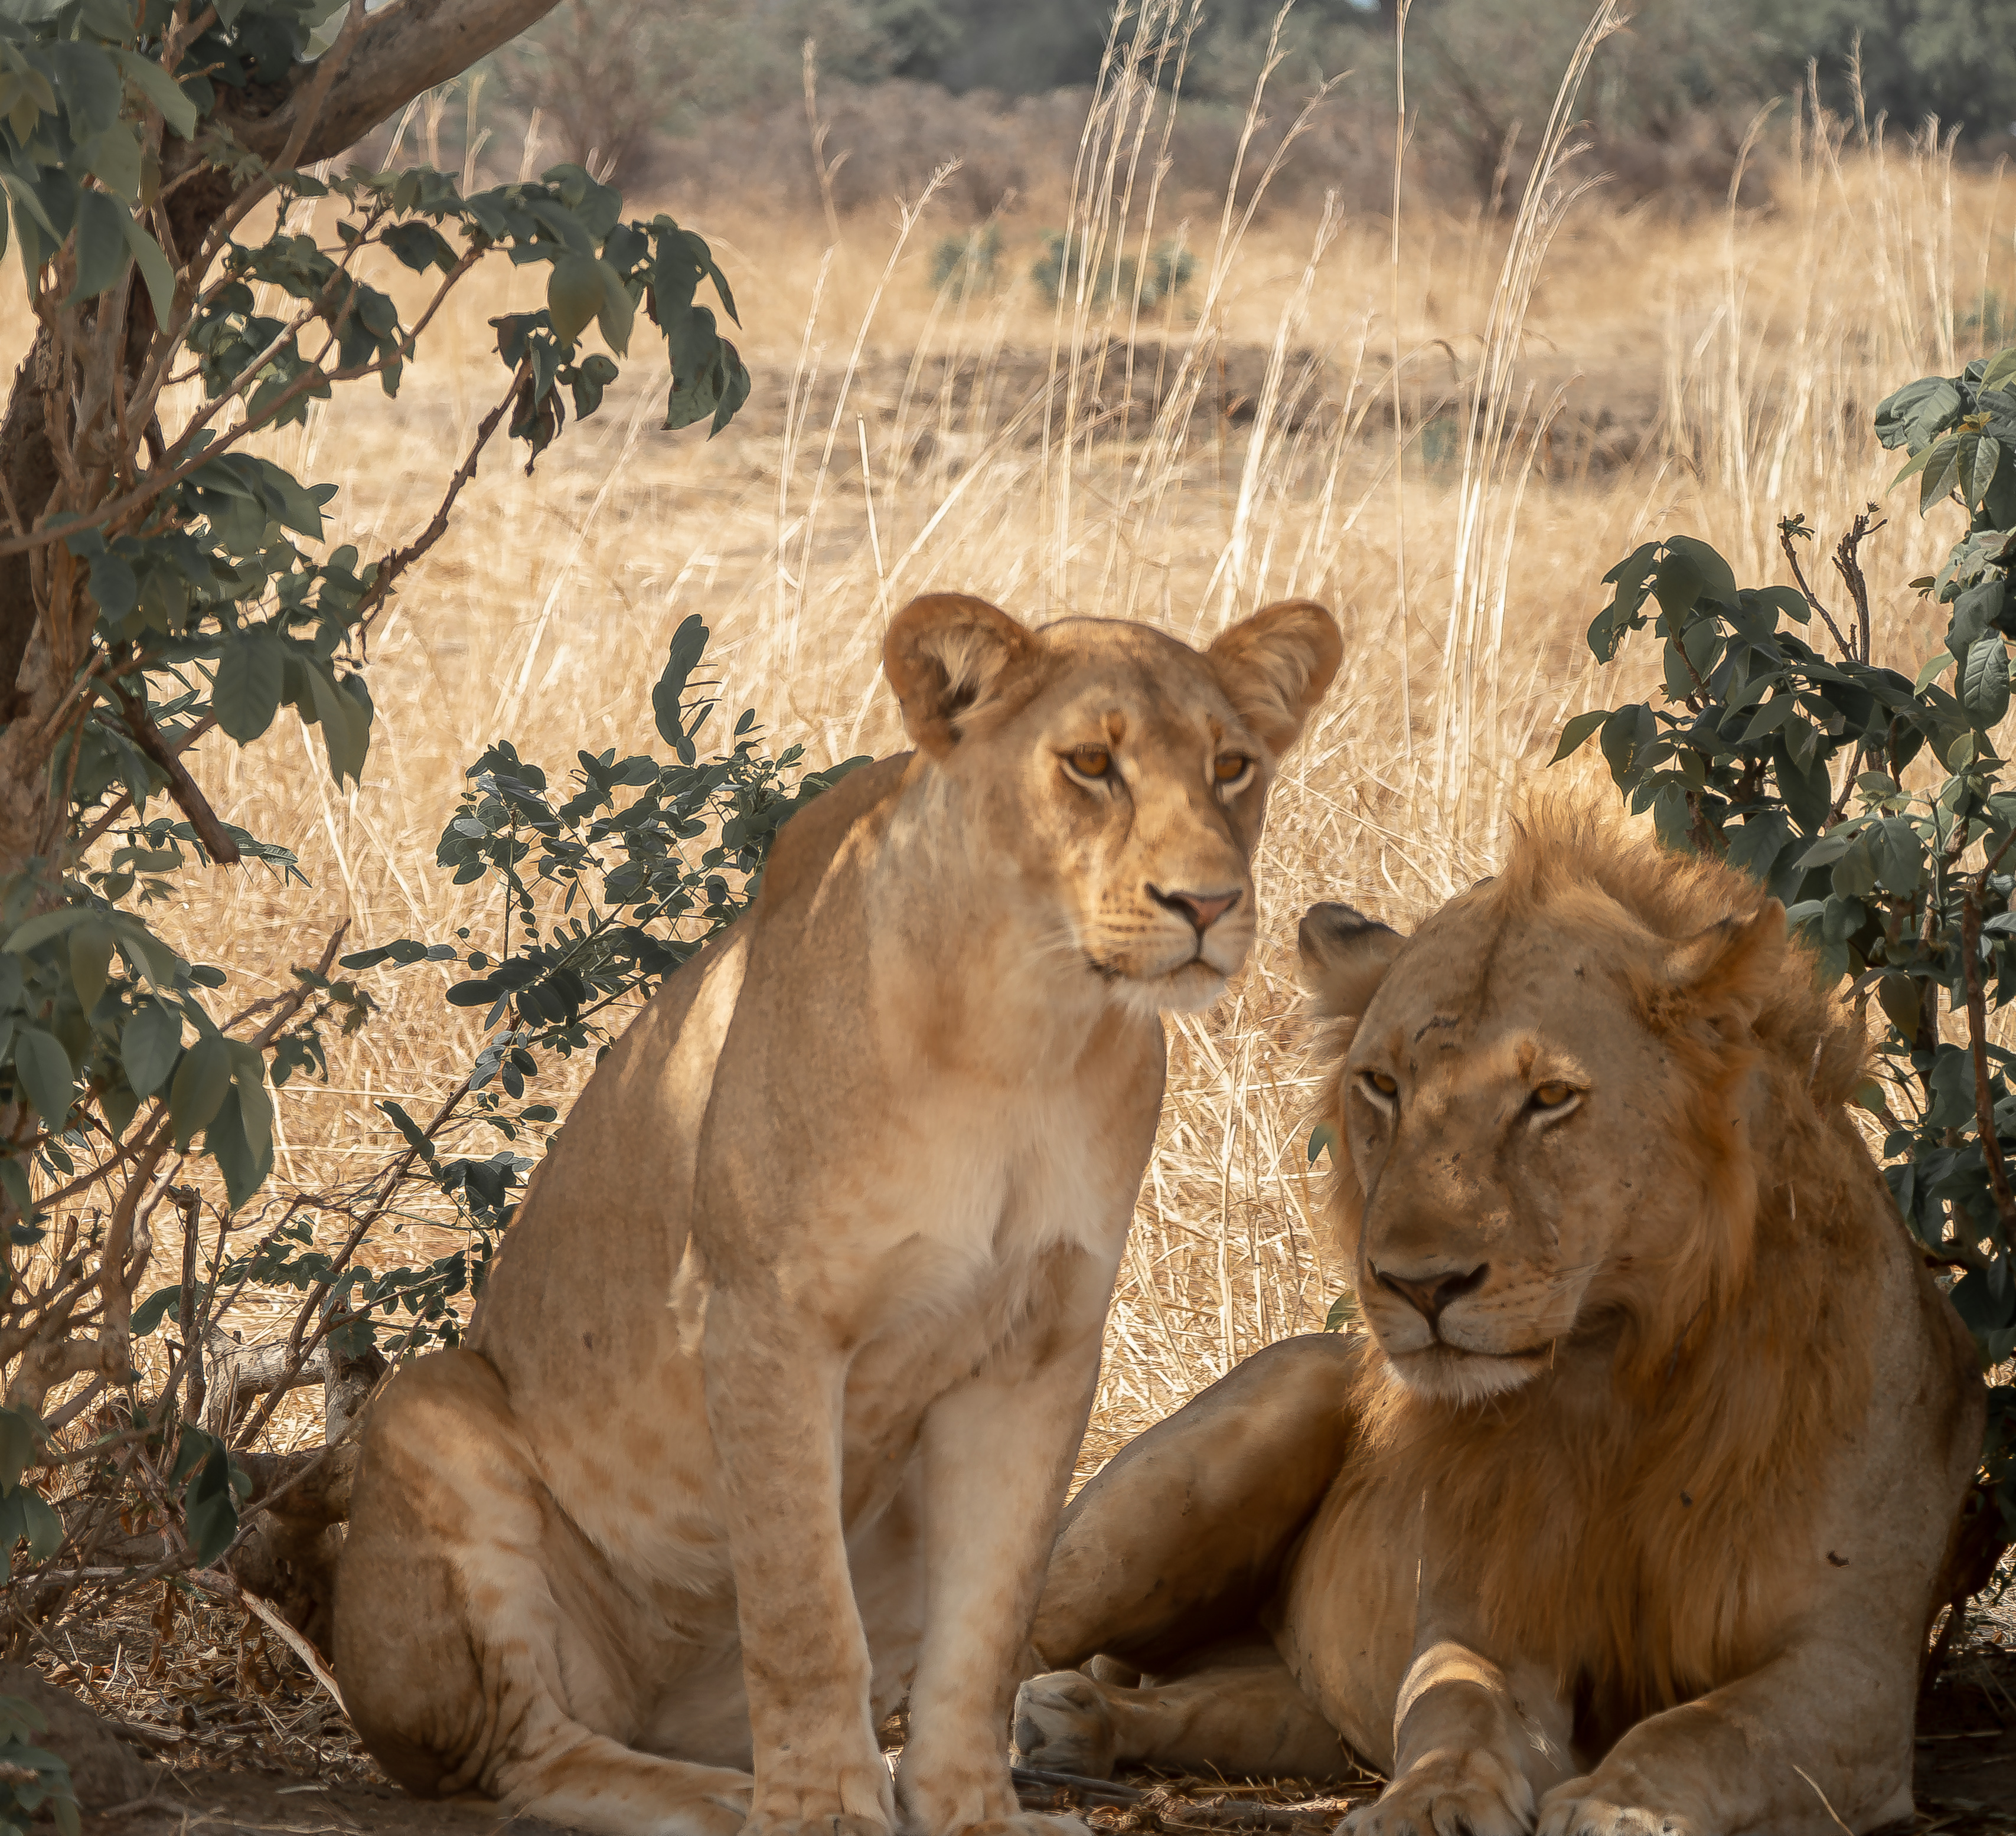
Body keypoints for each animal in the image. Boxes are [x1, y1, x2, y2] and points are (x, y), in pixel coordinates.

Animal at [331, 591, 1342, 1836]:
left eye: (1231, 765)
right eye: (1090, 765)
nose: (1206, 903)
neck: (1027, 1026)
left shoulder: (1041, 1349)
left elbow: (985, 1630)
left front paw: (970, 1812)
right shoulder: (765, 1319)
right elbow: (801, 1607)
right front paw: (821, 1810)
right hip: (429, 1409)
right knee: (526, 1750)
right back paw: (725, 1799)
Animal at [1013, 805, 1983, 1836]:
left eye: (1548, 1098)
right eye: (1382, 1085)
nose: (1417, 1284)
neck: (1618, 1372)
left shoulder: (1853, 1667)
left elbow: (1711, 1726)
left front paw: (1618, 1805)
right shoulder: (1487, 1617)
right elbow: (1455, 1703)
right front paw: (1429, 1800)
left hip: (1295, 1709)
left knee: (1202, 1702)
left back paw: (1080, 1722)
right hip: (1242, 1434)